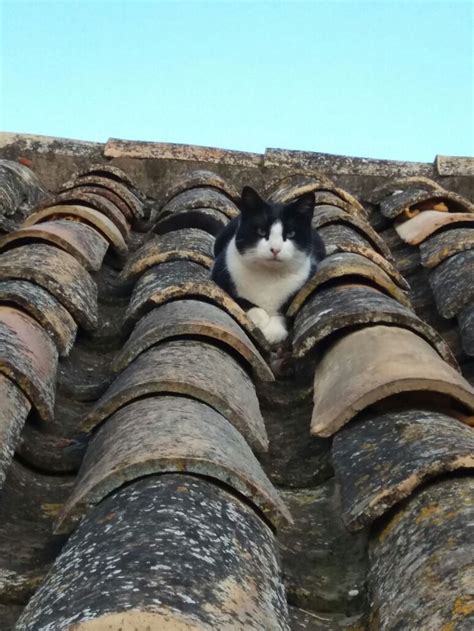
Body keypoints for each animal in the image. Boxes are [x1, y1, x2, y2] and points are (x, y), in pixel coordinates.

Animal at [212, 186, 326, 346]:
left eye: (290, 234)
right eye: (261, 231)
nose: (275, 249)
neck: (269, 276)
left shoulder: (302, 289)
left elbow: (286, 312)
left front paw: (274, 331)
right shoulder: (220, 276)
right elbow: (243, 301)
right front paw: (261, 319)